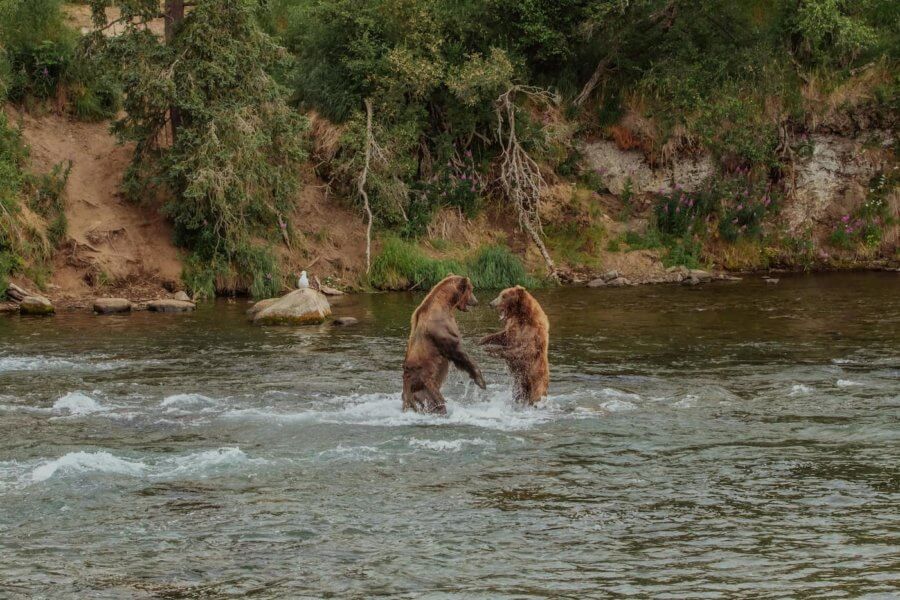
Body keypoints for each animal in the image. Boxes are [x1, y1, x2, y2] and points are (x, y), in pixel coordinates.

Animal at [402, 275, 486, 414]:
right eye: (472, 288)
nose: (476, 301)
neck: (445, 306)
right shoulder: (443, 332)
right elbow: (460, 353)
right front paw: (481, 381)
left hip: (416, 394)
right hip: (426, 385)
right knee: (437, 401)